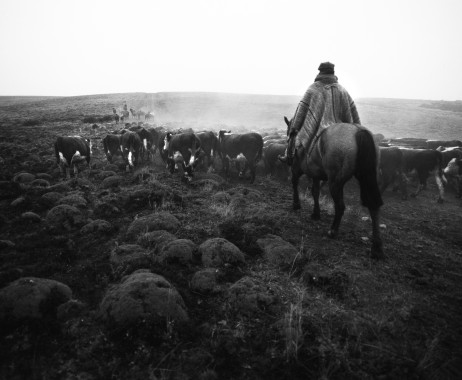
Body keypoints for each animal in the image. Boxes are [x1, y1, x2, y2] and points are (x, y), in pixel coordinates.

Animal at [284, 116, 384, 258]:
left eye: (288, 134)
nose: (287, 156)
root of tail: (359, 131)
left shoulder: (297, 168)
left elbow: (295, 183)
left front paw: (296, 204)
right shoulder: (316, 174)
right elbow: (315, 192)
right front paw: (316, 213)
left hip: (335, 182)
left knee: (340, 206)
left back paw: (333, 231)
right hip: (367, 177)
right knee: (373, 206)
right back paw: (376, 247)